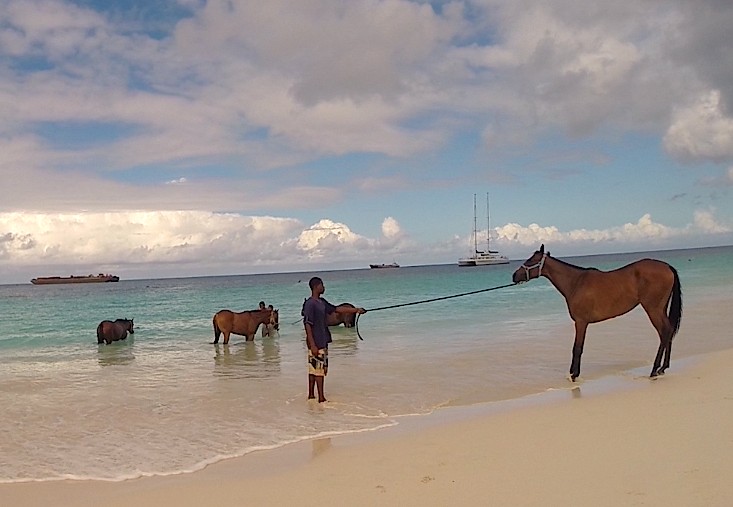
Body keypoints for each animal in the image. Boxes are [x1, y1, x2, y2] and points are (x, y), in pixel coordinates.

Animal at [512, 246, 684, 380]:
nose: (514, 276)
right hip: (661, 308)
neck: (575, 282)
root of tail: (667, 267)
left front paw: (574, 375)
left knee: (664, 332)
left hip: (653, 309)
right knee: (668, 331)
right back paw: (663, 368)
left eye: (530, 260)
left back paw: (655, 369)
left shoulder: (581, 322)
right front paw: (573, 373)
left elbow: (577, 348)